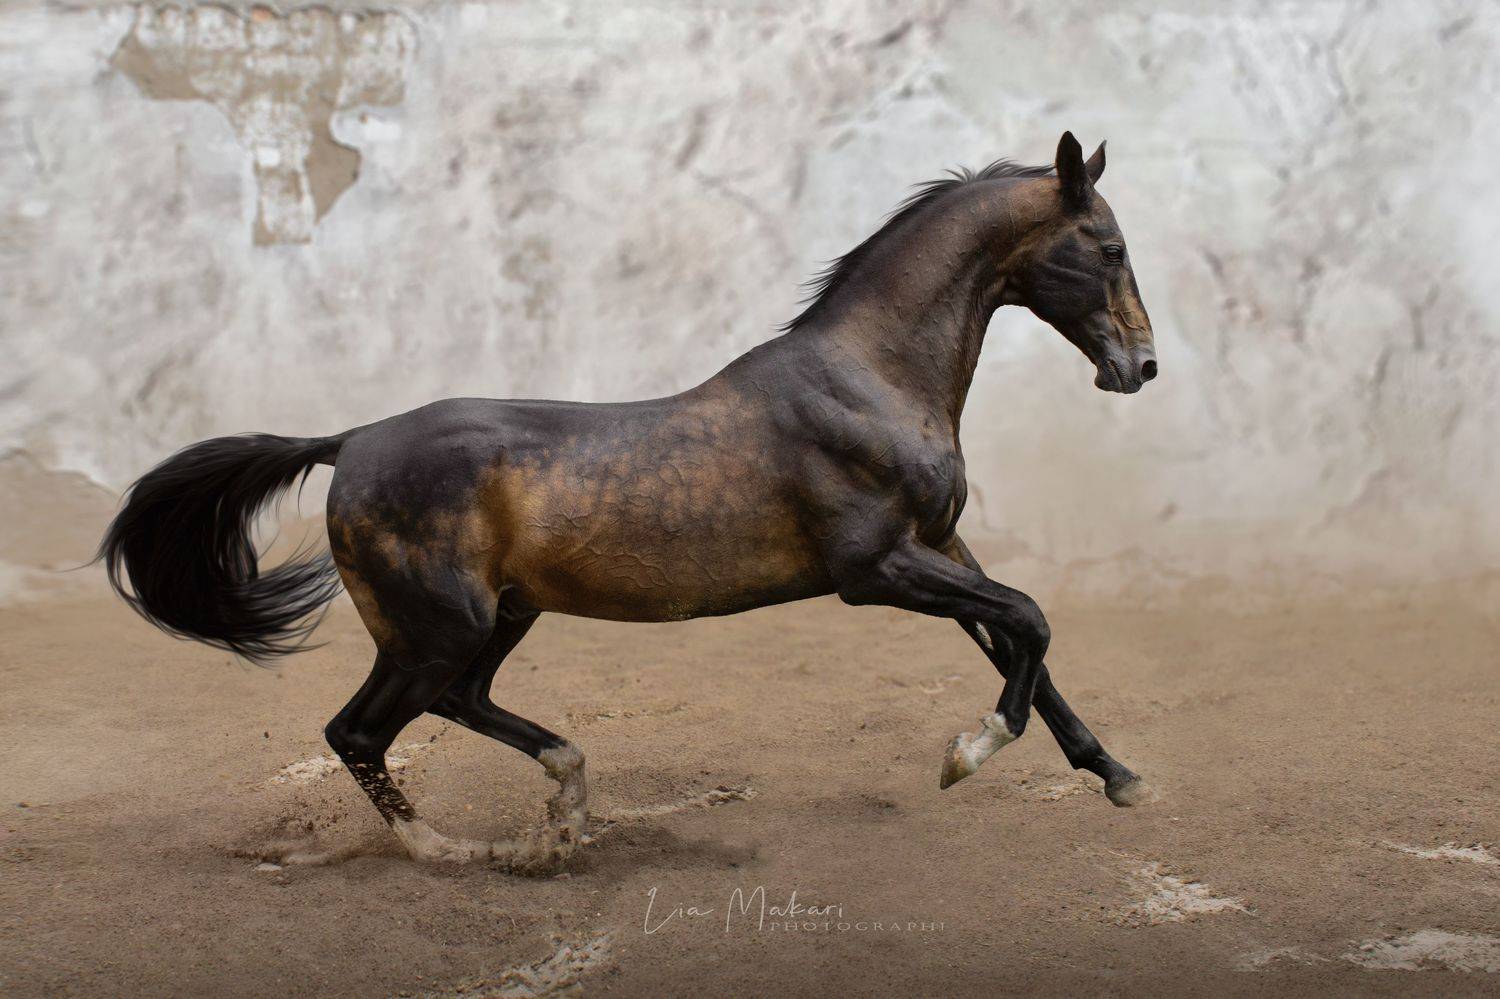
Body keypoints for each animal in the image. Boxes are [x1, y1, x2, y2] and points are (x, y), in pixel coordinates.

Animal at [100, 132, 1158, 868]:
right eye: (1107, 246)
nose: (1141, 368)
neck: (871, 379)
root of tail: (349, 442)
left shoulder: (942, 545)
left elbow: (1024, 640)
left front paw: (1118, 777)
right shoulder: (878, 568)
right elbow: (1029, 619)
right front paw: (968, 751)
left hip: (498, 614)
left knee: (458, 701)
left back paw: (567, 801)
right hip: (436, 625)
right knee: (360, 730)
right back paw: (463, 850)